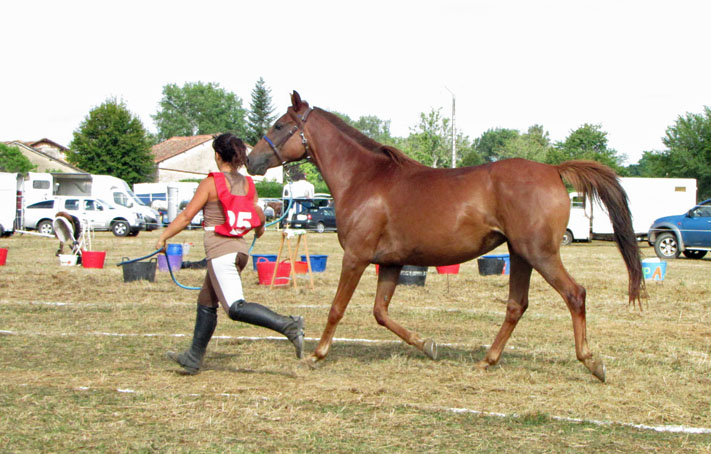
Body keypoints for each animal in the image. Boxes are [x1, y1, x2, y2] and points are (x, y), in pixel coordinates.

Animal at [246, 91, 644, 382]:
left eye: (280, 125)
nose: (251, 161)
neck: (366, 179)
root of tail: (552, 169)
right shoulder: (391, 263)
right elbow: (381, 312)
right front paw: (428, 345)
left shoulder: (356, 258)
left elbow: (337, 309)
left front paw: (315, 354)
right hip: (520, 255)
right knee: (516, 305)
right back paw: (488, 360)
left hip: (540, 253)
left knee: (575, 295)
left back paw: (592, 362)